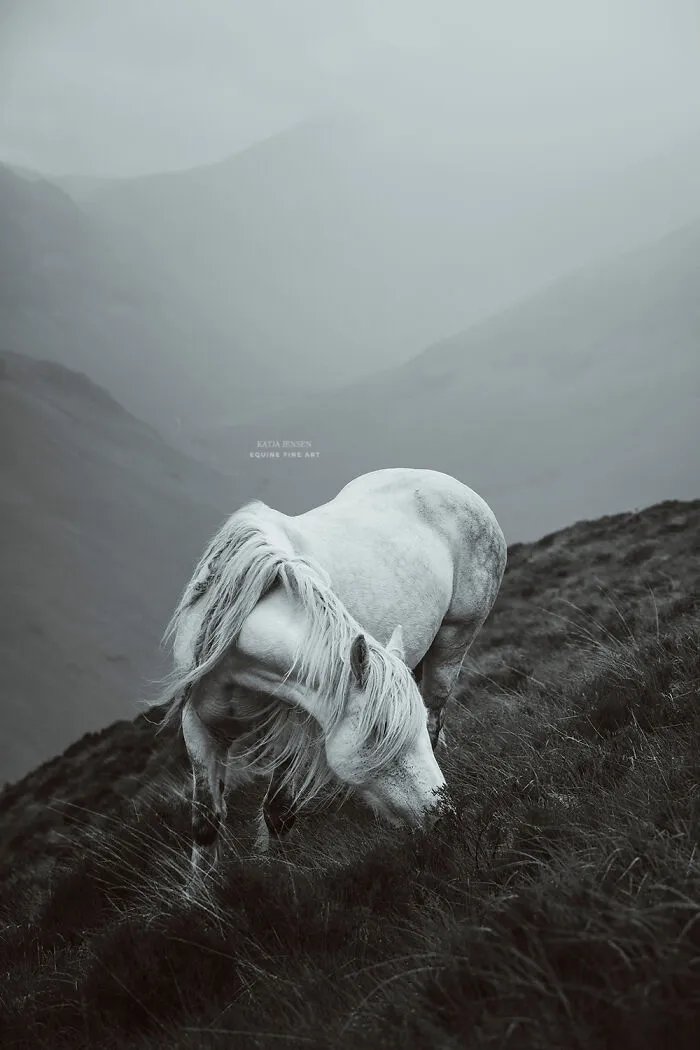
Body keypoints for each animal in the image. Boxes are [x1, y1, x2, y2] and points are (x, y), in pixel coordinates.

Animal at [158, 467, 507, 886]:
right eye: (377, 735)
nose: (443, 818)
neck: (238, 655)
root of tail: (450, 483)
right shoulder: (199, 727)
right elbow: (206, 824)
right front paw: (201, 896)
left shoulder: (299, 728)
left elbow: (278, 811)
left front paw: (270, 874)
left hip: (453, 643)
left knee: (437, 713)